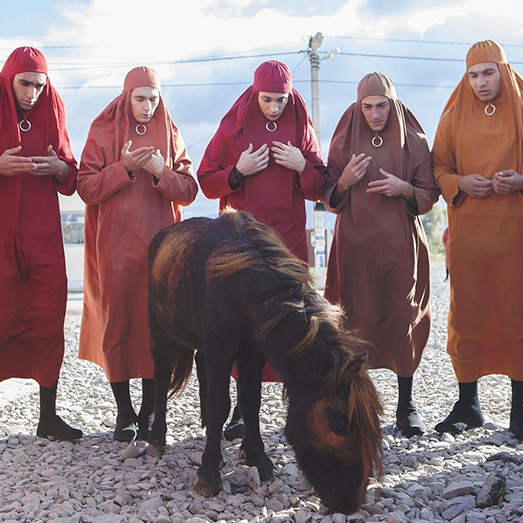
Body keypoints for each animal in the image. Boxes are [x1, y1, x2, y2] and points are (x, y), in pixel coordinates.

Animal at [145, 209, 382, 516]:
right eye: (341, 423)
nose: (351, 502)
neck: (242, 285)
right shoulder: (220, 349)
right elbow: (220, 405)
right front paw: (208, 475)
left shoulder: (253, 353)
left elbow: (251, 403)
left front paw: (258, 459)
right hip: (158, 330)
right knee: (162, 376)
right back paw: (157, 438)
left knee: (199, 362)